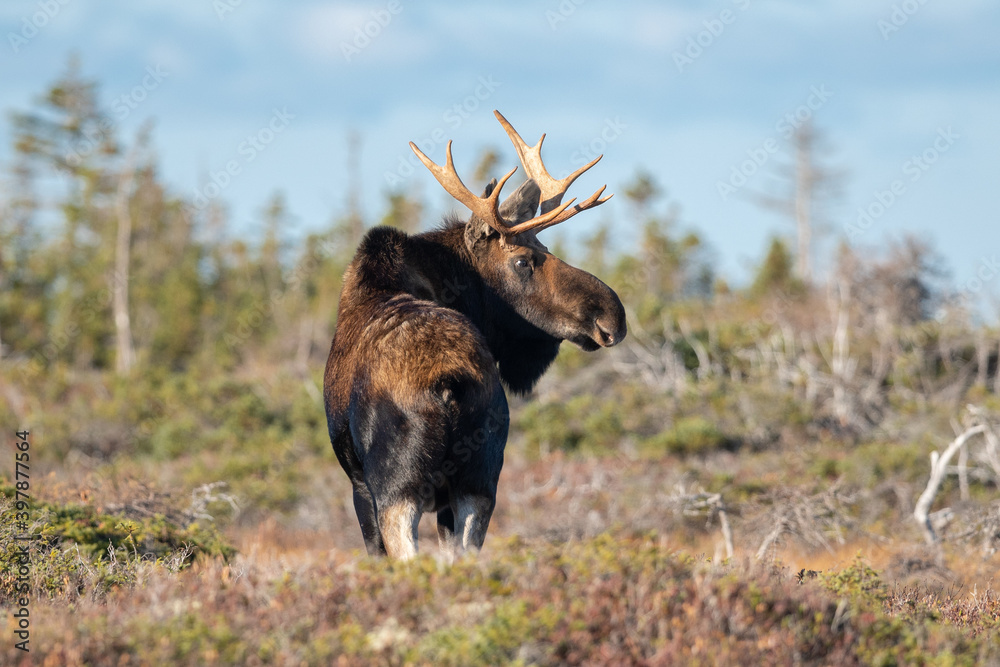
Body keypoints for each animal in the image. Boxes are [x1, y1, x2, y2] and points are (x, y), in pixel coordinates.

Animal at [324, 112, 624, 560]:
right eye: (524, 260)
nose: (612, 315)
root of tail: (450, 382)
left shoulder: (360, 485)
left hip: (399, 488)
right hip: (479, 480)